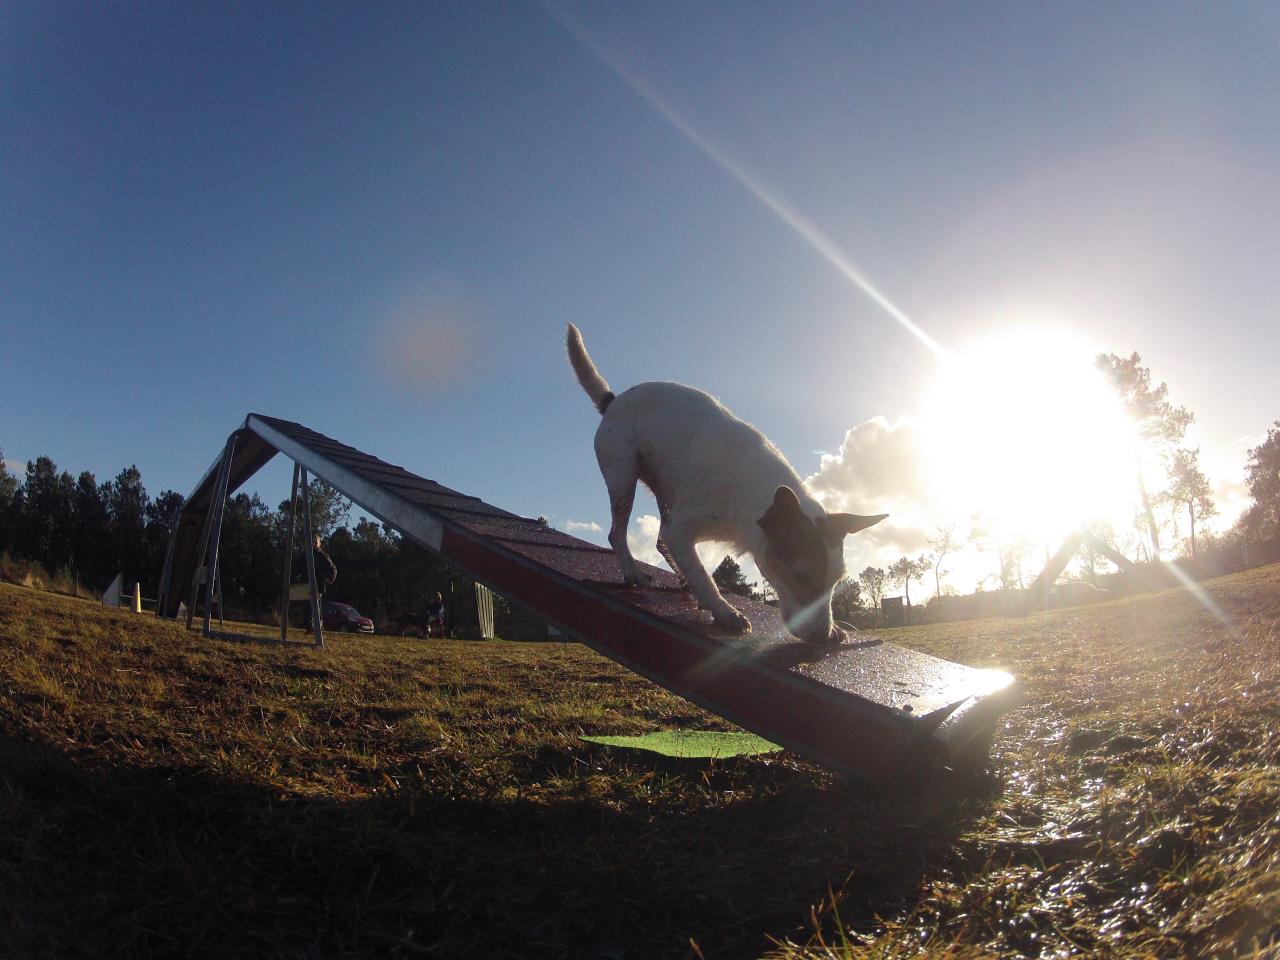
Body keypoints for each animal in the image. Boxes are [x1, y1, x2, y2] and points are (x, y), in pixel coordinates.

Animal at [566, 323, 887, 644]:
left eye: (836, 581)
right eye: (801, 575)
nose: (823, 635)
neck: (755, 498)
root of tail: (613, 400)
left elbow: (692, 564)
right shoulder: (681, 529)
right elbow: (704, 575)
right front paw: (725, 612)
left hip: (666, 491)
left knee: (659, 541)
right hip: (623, 476)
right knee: (617, 534)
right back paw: (634, 573)